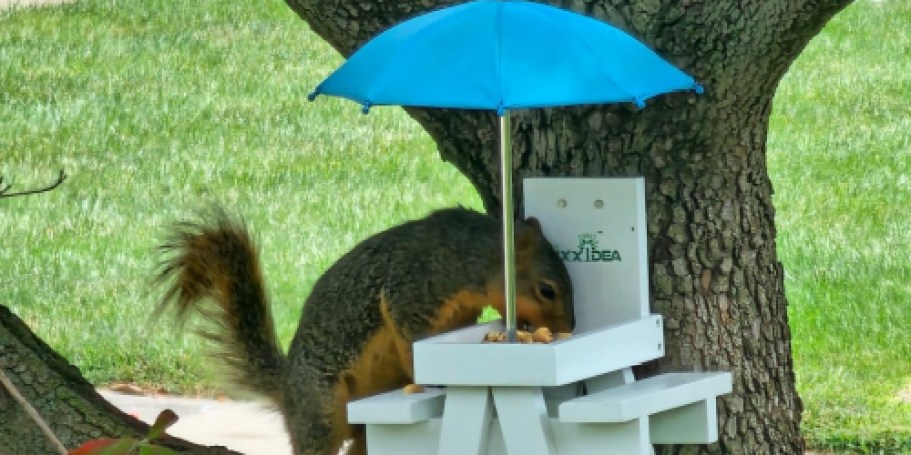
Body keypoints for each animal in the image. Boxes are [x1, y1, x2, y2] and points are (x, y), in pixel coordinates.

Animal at [154, 206, 573, 455]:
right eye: (547, 289)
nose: (570, 327)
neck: (472, 256)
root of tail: (286, 386)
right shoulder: (412, 290)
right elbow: (413, 340)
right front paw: (428, 378)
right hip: (321, 407)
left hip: (361, 431)